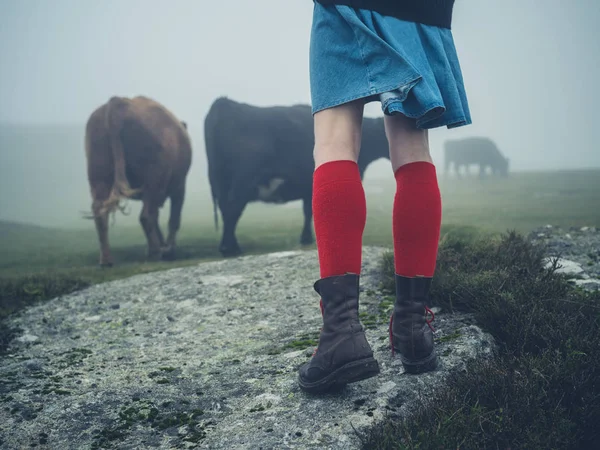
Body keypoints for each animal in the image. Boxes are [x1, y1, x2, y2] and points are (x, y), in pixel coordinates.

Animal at [84, 96, 191, 266]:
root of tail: (119, 102)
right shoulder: (179, 187)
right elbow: (174, 219)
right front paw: (168, 249)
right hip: (154, 178)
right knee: (146, 215)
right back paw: (155, 252)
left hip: (98, 174)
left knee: (100, 212)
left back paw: (106, 260)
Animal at [204, 96, 392, 256]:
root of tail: (224, 103)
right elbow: (311, 210)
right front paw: (309, 238)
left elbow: (308, 211)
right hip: (243, 178)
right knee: (233, 208)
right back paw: (230, 248)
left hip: (220, 181)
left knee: (226, 209)